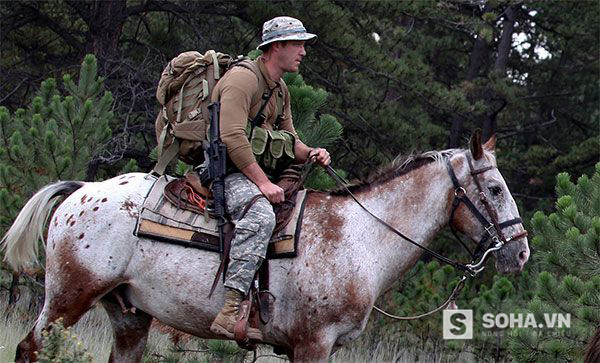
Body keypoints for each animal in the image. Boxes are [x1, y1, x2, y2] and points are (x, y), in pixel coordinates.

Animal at [3, 134, 528, 363]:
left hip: (129, 315)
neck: (361, 236)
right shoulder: (313, 344)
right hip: (67, 299)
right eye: (495, 188)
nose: (520, 252)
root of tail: (82, 190)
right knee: (30, 347)